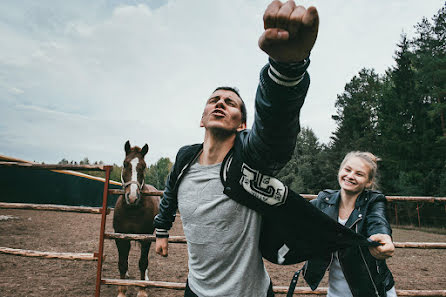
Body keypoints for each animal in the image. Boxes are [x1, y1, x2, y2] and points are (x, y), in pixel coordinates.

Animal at [113, 140, 160, 296]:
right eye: (125, 164)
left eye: (143, 166)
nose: (132, 197)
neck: (133, 210)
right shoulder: (120, 237)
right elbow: (122, 263)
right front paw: (122, 290)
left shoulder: (146, 238)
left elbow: (143, 262)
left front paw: (142, 289)